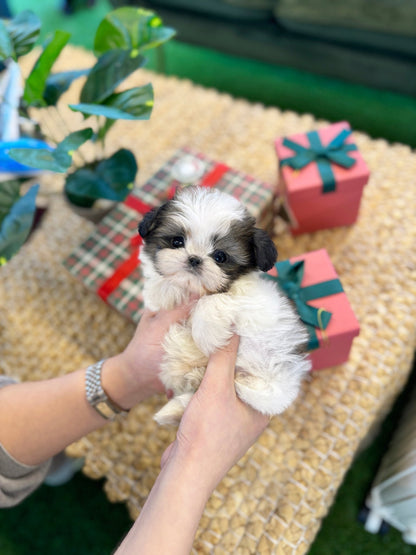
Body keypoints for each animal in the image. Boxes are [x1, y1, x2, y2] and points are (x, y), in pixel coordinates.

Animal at [138, 187, 310, 426]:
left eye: (220, 256)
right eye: (177, 242)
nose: (194, 259)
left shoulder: (256, 301)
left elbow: (213, 301)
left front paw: (205, 335)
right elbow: (158, 291)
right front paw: (168, 288)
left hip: (275, 380)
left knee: (269, 395)